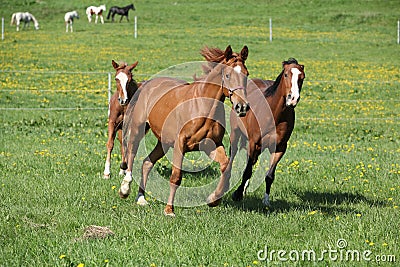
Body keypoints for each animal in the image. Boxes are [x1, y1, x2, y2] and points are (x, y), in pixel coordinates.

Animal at [119, 45, 250, 218]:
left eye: (246, 74)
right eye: (227, 75)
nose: (242, 107)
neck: (203, 106)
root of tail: (147, 84)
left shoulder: (211, 145)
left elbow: (226, 167)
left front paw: (213, 199)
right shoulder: (180, 144)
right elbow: (176, 177)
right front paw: (169, 210)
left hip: (164, 142)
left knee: (147, 163)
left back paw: (141, 199)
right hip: (138, 129)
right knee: (131, 154)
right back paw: (124, 189)